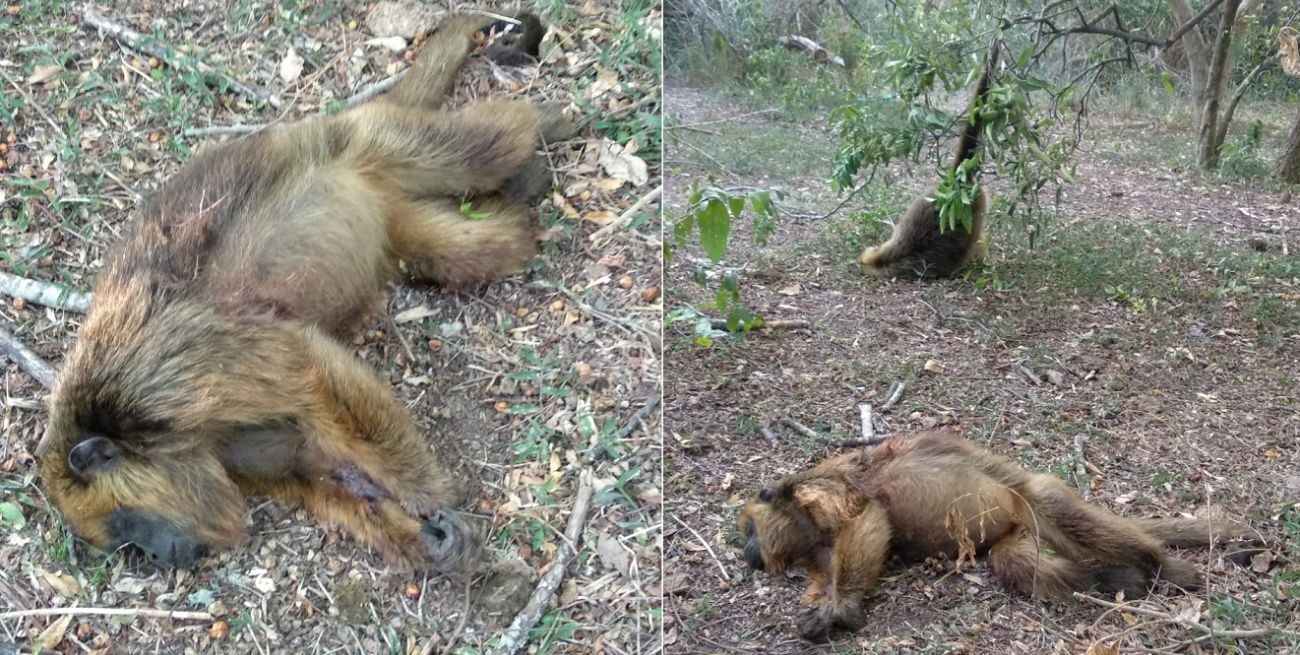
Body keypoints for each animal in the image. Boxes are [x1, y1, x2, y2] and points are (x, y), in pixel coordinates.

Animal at [40, 10, 574, 571]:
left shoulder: (160, 376)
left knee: (487, 147)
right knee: (470, 250)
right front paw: (422, 539)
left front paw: (425, 491)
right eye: (128, 543)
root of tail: (319, 123)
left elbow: (312, 367)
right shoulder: (223, 449)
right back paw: (520, 199)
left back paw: (538, 125)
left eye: (128, 524)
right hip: (388, 202)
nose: (162, 556)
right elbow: (308, 467)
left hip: (366, 139)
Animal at [743, 428, 1258, 639]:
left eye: (748, 528)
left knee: (1064, 515)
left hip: (1030, 497)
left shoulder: (820, 488)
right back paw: (1116, 580)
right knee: (1015, 562)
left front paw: (841, 608)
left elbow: (869, 514)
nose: (747, 551)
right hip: (1015, 531)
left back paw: (1158, 564)